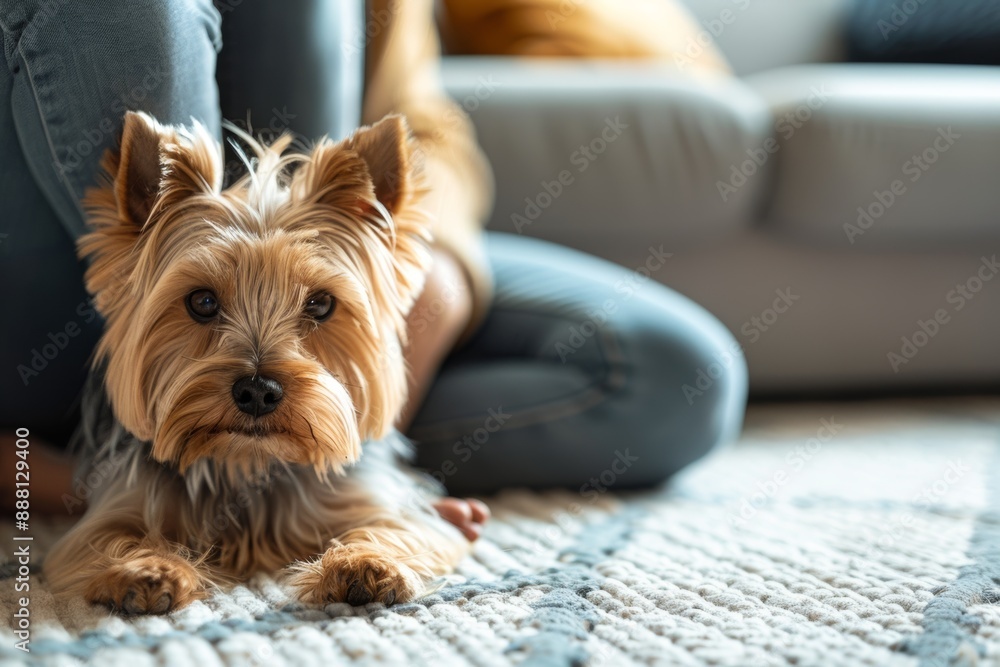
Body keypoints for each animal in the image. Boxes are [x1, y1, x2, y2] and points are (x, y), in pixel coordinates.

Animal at [43, 111, 472, 616]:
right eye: (203, 301)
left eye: (321, 304)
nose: (257, 391)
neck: (247, 461)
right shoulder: (115, 509)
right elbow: (109, 537)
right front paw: (146, 568)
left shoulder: (380, 505)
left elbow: (396, 529)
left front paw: (366, 563)